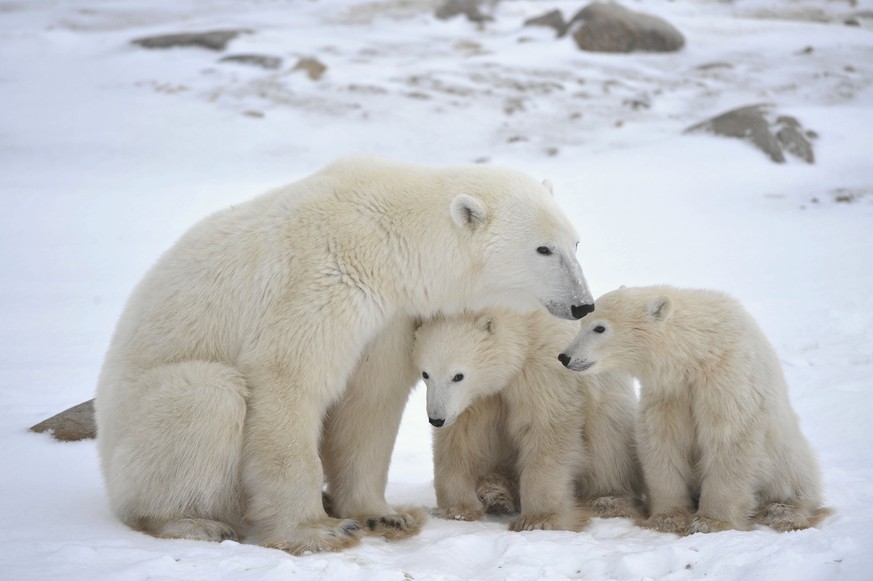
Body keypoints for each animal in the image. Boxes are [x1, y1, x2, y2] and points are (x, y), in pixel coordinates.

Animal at [95, 156, 592, 556]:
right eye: (543, 248)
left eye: (575, 242)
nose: (583, 305)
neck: (387, 236)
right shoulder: (323, 278)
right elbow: (288, 378)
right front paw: (317, 531)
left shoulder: (389, 317)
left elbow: (369, 402)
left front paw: (384, 515)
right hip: (136, 430)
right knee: (207, 395)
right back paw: (191, 521)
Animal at [408, 308, 640, 532]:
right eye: (425, 374)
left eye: (458, 375)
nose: (436, 419)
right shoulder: (475, 400)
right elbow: (460, 438)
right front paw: (458, 510)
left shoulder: (544, 368)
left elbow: (546, 428)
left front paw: (539, 520)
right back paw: (495, 492)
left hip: (610, 411)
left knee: (607, 439)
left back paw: (606, 500)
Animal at [560, 286, 832, 536]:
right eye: (582, 323)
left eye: (599, 328)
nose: (565, 356)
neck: (698, 351)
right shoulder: (669, 392)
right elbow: (662, 441)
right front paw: (667, 518)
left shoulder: (726, 378)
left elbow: (728, 438)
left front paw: (710, 522)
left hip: (786, 452)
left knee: (795, 479)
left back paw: (784, 512)